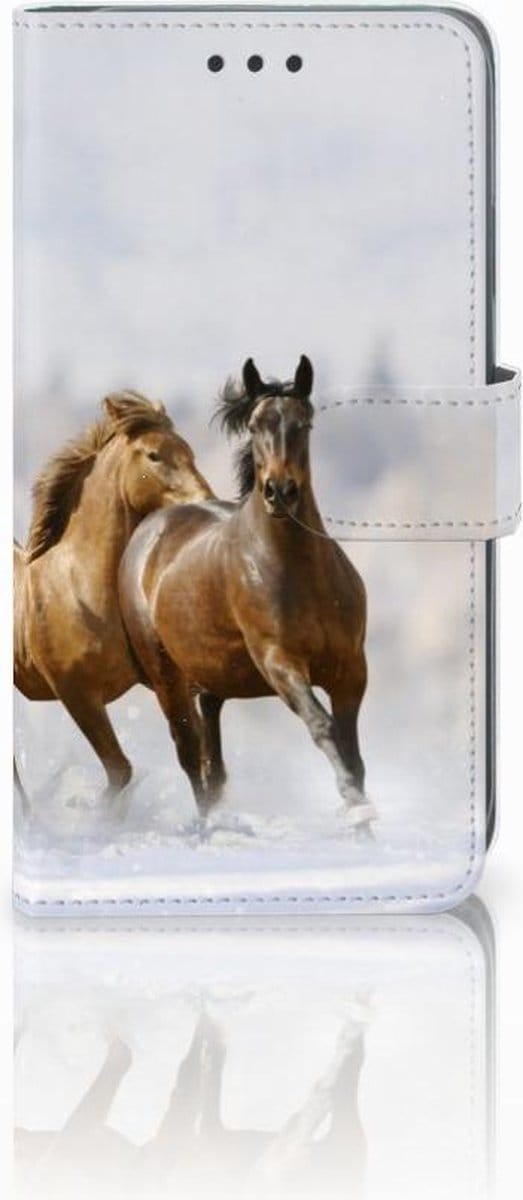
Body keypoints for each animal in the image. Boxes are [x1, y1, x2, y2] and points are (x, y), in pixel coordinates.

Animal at [14, 390, 213, 796]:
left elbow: (194, 754)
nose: (204, 500)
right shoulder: (78, 695)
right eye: (154, 455)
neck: (82, 589)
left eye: (189, 451)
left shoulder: (169, 682)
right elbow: (120, 770)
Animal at [119, 357, 376, 829]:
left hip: (211, 680)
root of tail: (150, 529)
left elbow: (352, 751)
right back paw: (205, 828)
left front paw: (363, 821)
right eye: (255, 426)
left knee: (212, 763)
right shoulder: (280, 663)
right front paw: (354, 806)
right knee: (190, 755)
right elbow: (323, 727)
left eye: (303, 423)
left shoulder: (351, 669)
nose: (279, 491)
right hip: (167, 678)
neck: (300, 573)